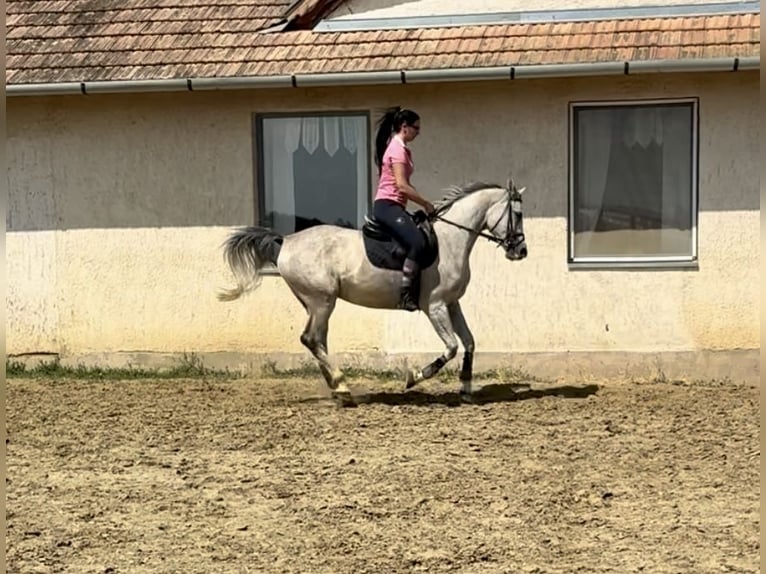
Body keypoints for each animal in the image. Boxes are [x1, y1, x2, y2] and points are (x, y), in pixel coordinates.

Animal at [217, 178, 527, 406]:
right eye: (518, 214)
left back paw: (337, 388)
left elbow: (470, 342)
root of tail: (286, 241)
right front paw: (414, 377)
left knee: (318, 341)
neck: (451, 240)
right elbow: (451, 347)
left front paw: (465, 388)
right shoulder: (435, 305)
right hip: (321, 301)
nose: (521, 251)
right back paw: (342, 386)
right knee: (310, 339)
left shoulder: (453, 303)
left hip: (316, 304)